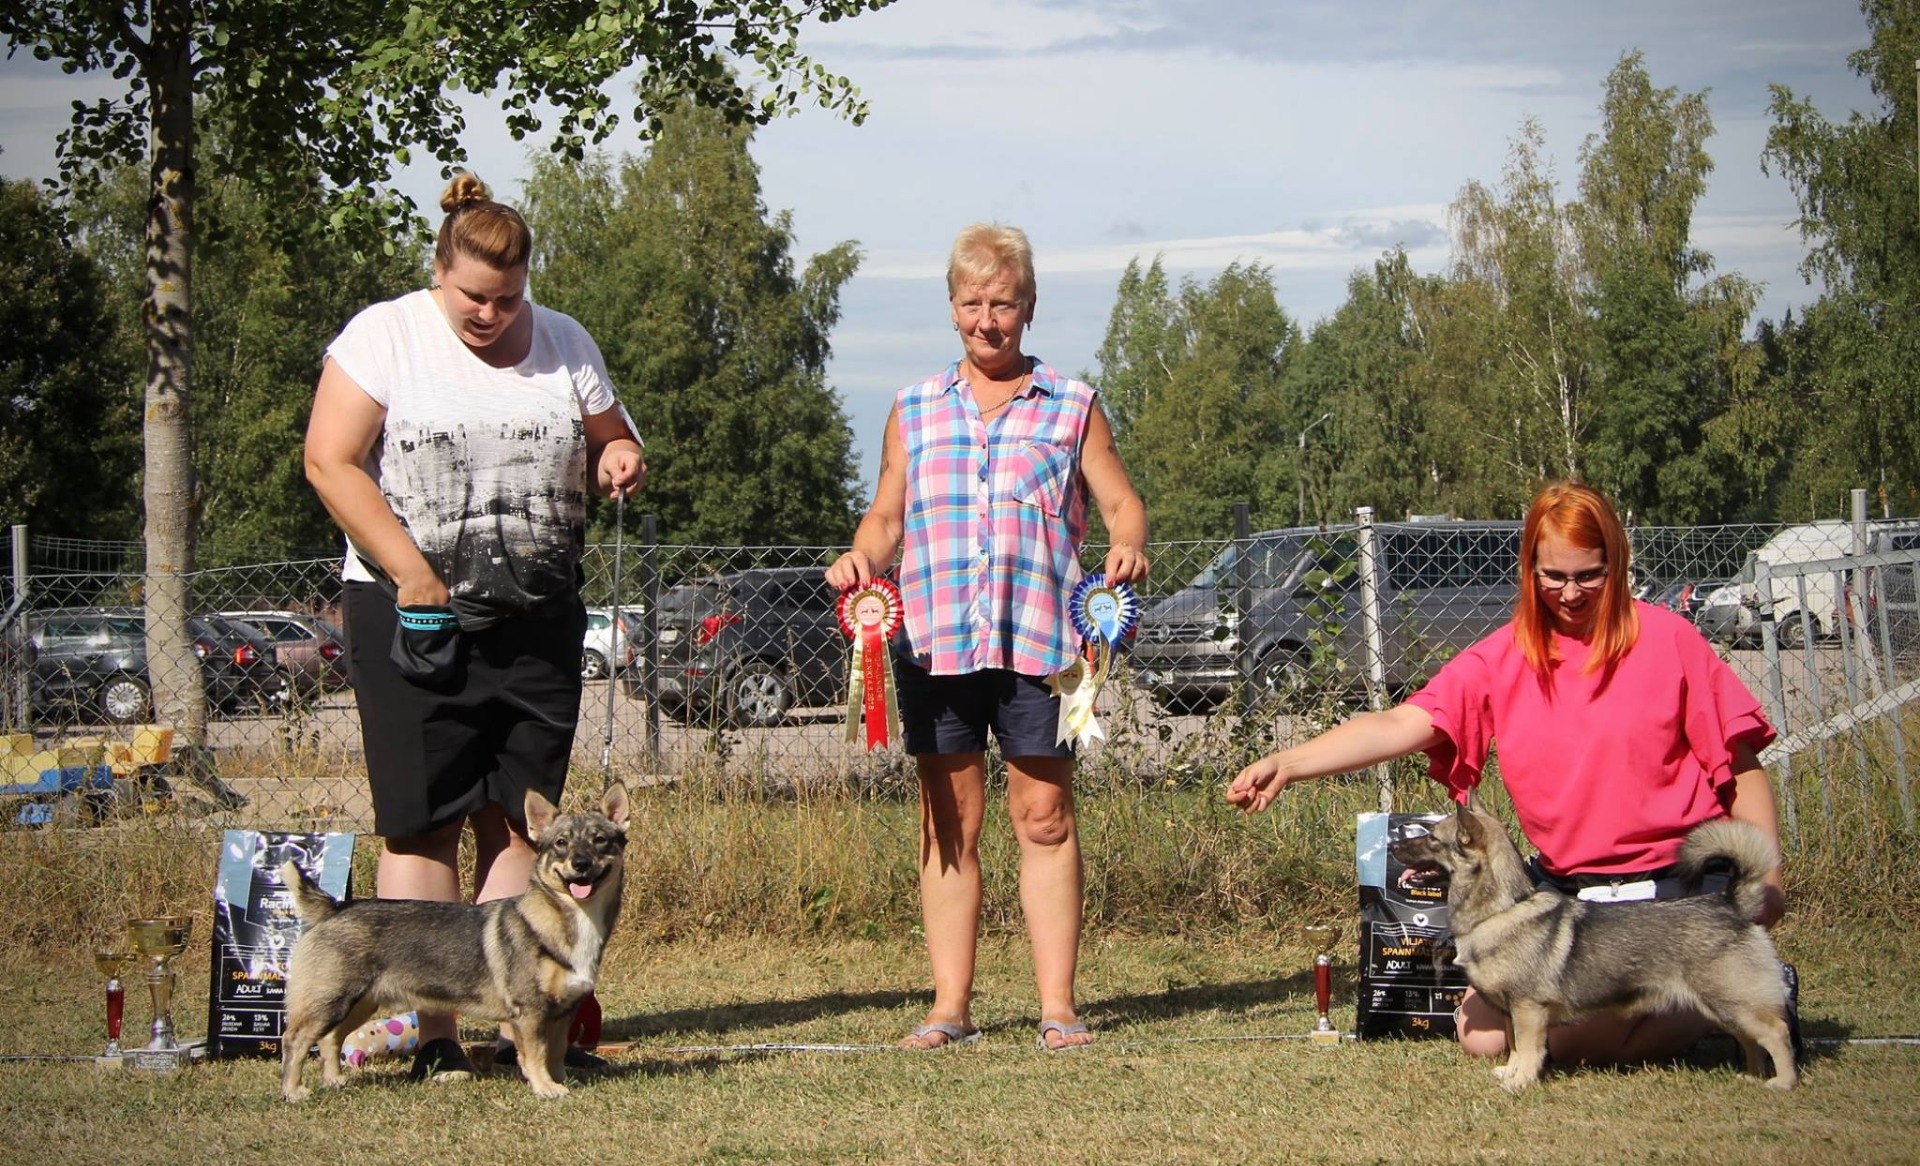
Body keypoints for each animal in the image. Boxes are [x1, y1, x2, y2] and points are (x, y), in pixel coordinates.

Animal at [278, 783, 629, 1101]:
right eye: (560, 843)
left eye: (600, 840)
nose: (580, 864)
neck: (568, 921)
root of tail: (335, 908)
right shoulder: (531, 1012)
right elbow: (536, 1055)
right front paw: (545, 1088)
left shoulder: (563, 1012)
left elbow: (555, 1054)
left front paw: (561, 1082)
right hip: (331, 1001)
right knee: (295, 1039)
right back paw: (293, 1091)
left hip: (360, 1003)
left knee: (330, 1039)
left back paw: (335, 1081)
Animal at [1388, 804, 1797, 1092]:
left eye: (1432, 839)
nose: (1392, 845)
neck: (1502, 910)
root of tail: (1732, 904)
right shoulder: (1510, 1012)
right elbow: (1516, 1047)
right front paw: (1510, 1072)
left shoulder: (1528, 1010)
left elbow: (1530, 1049)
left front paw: (1521, 1082)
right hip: (1720, 1007)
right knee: (1751, 1040)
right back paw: (1751, 1076)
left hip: (1732, 1002)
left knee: (1776, 1034)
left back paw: (1782, 1082)